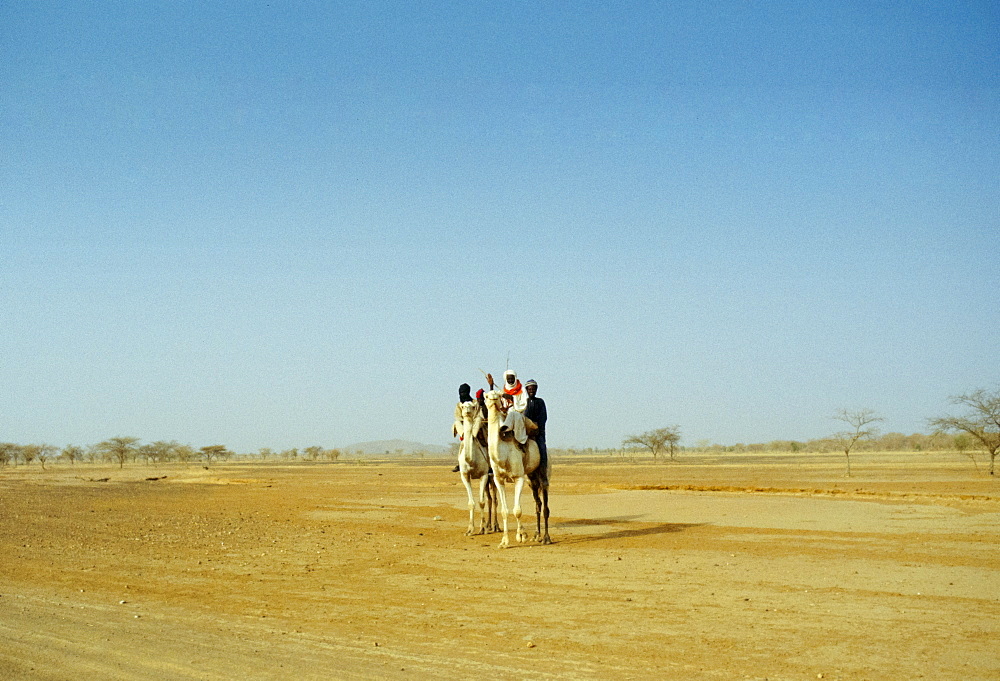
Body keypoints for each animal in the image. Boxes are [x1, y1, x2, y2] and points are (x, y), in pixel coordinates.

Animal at [456, 398, 498, 536]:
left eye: (473, 407)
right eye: (463, 406)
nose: (467, 411)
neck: (471, 460)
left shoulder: (483, 474)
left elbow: (481, 502)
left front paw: (482, 528)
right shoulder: (465, 475)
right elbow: (471, 503)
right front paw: (470, 530)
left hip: (492, 476)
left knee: (494, 499)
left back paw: (495, 526)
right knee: (490, 498)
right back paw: (490, 525)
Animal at [482, 390, 552, 544]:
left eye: (498, 395)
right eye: (487, 396)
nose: (493, 398)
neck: (502, 453)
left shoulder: (518, 477)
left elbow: (517, 510)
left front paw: (522, 535)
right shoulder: (498, 480)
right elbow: (504, 511)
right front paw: (504, 541)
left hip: (543, 473)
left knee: (545, 505)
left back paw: (546, 538)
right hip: (531, 479)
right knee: (538, 504)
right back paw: (536, 535)